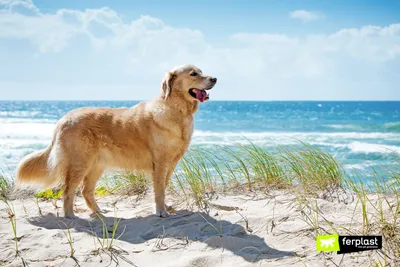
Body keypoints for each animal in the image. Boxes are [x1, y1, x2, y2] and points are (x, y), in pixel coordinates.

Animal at [16, 65, 216, 220]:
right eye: (193, 73)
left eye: (201, 71)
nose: (214, 78)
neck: (177, 110)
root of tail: (63, 119)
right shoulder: (160, 163)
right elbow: (159, 190)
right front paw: (160, 211)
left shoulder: (170, 163)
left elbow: (163, 187)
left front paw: (165, 207)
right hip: (80, 163)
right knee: (68, 191)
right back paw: (70, 216)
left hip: (97, 165)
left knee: (85, 191)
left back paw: (99, 213)